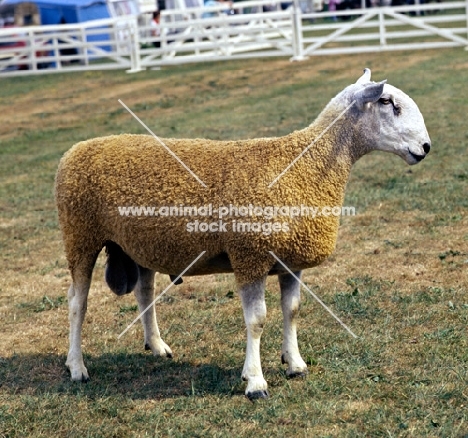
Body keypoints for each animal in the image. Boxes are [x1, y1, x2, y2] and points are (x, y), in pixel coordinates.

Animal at [54, 69, 432, 400]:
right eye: (387, 102)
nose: (426, 147)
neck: (306, 166)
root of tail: (77, 148)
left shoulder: (291, 262)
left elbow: (292, 310)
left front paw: (295, 363)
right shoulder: (251, 256)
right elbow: (257, 321)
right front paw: (255, 381)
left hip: (138, 244)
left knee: (144, 292)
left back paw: (157, 345)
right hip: (80, 235)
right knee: (77, 302)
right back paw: (77, 367)